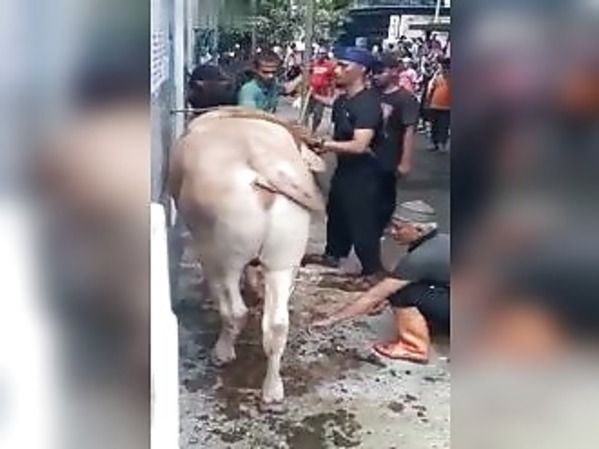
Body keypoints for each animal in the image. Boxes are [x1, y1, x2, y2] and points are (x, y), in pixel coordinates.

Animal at [169, 106, 325, 412]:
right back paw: (273, 391)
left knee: (234, 309)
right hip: (285, 252)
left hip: (220, 251)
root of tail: (262, 162)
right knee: (277, 325)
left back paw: (222, 352)